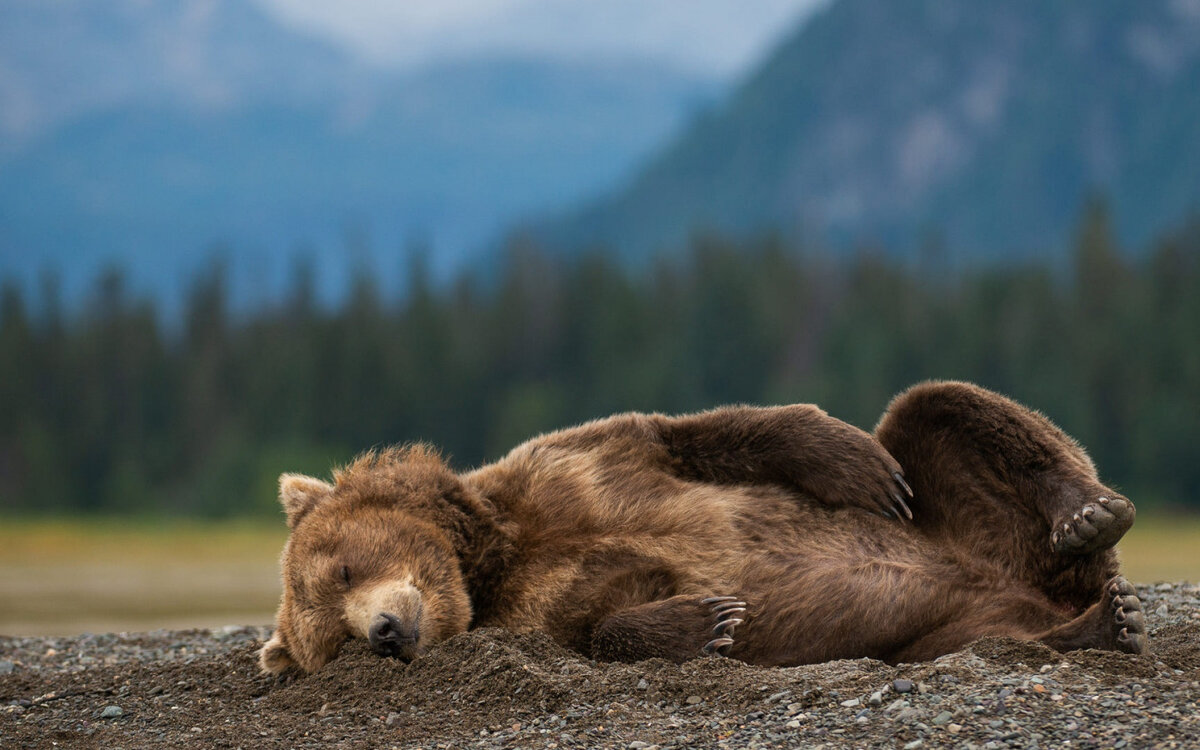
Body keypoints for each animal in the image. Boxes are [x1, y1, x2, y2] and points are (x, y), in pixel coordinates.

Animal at [260, 379, 1142, 672]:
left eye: (340, 568)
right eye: (332, 642)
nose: (382, 633)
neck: (495, 554)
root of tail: (1042, 587)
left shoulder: (580, 465)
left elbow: (705, 432)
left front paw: (852, 462)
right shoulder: (537, 609)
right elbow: (596, 628)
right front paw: (711, 620)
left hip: (966, 517)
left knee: (937, 409)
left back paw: (1089, 516)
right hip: (943, 626)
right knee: (981, 640)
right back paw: (1103, 624)